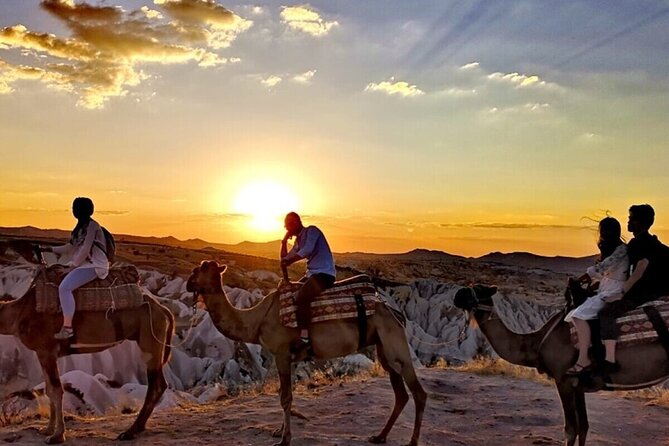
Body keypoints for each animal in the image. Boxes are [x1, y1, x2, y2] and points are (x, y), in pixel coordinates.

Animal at [0, 242, 175, 444]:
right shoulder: (45, 353)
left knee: (156, 384)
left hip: (150, 340)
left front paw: (57, 435)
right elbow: (49, 388)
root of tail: (163, 310)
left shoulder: (46, 349)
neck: (20, 312)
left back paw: (130, 431)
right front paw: (48, 429)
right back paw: (137, 428)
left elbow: (55, 390)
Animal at [185, 260, 426, 446]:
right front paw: (279, 431)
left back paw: (412, 441)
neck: (257, 320)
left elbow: (285, 397)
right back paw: (379, 436)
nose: (188, 283)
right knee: (401, 394)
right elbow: (286, 394)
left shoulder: (281, 353)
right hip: (383, 348)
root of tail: (396, 312)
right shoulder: (289, 358)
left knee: (418, 392)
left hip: (395, 343)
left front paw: (284, 439)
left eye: (201, 268)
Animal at [452, 286, 668, 446]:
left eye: (478, 289)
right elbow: (584, 427)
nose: (457, 295)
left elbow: (570, 430)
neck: (537, 341)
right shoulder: (578, 385)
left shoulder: (563, 380)